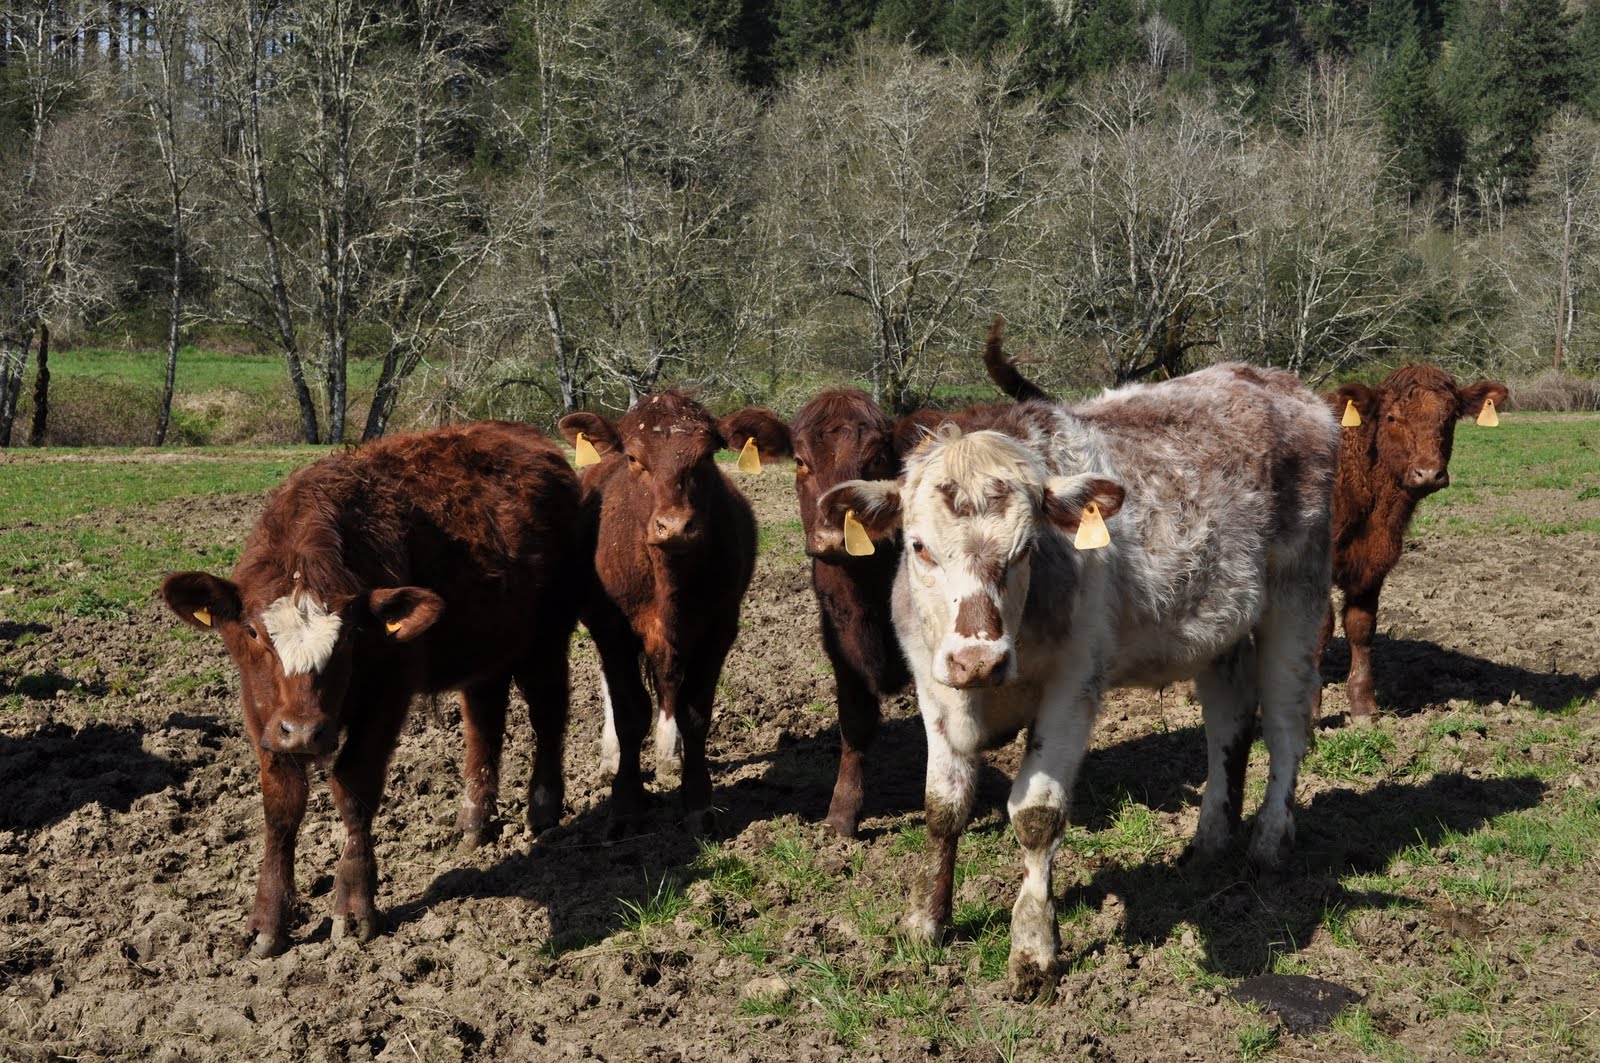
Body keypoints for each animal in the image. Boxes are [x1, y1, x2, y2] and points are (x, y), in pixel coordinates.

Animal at [160, 421, 584, 956]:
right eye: (253, 632)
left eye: (350, 636)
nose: (304, 733)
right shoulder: (261, 712)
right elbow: (281, 806)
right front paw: (268, 919)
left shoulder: (388, 693)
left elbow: (355, 789)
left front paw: (354, 906)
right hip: (485, 649)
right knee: (484, 723)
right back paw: (473, 820)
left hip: (547, 636)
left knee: (548, 712)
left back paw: (543, 807)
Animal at [558, 391, 758, 836]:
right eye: (634, 457)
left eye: (707, 455)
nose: (676, 526)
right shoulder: (611, 628)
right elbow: (630, 713)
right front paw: (625, 804)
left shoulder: (720, 627)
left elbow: (694, 711)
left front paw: (697, 803)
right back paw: (611, 757)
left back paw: (669, 756)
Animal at [818, 365, 1338, 997]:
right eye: (918, 546)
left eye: (1025, 548)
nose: (979, 659)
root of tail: (1273, 381)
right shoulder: (932, 685)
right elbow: (943, 805)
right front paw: (924, 922)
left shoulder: (1073, 687)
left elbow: (1036, 816)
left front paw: (1034, 951)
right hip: (1221, 623)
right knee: (1228, 722)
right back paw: (1210, 841)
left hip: (1297, 593)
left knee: (1286, 722)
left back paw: (1268, 843)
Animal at [1322, 366, 1508, 720]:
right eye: (1392, 417)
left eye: (1450, 417)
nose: (1428, 473)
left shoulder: (1375, 562)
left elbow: (1361, 626)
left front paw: (1363, 706)